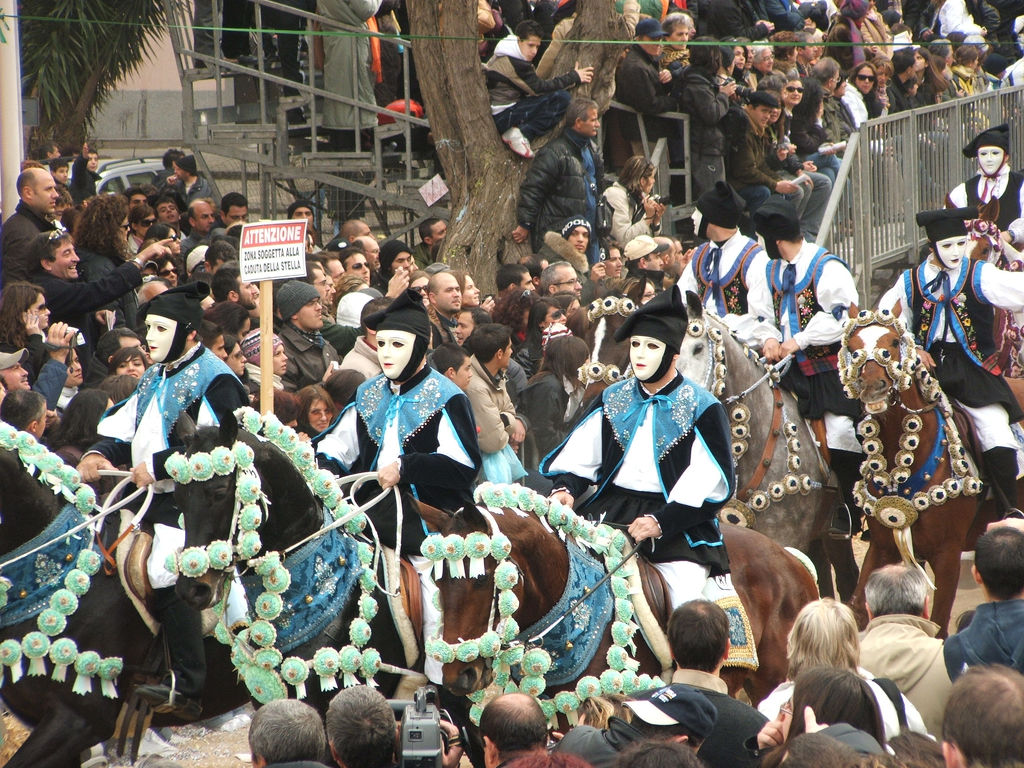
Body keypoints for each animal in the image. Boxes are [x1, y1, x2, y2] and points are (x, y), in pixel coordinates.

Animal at [839, 309, 1007, 634]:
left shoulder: (947, 555)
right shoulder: (882, 545)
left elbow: (939, 625)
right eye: (852, 348)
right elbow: (858, 610)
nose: (872, 387)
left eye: (893, 342)